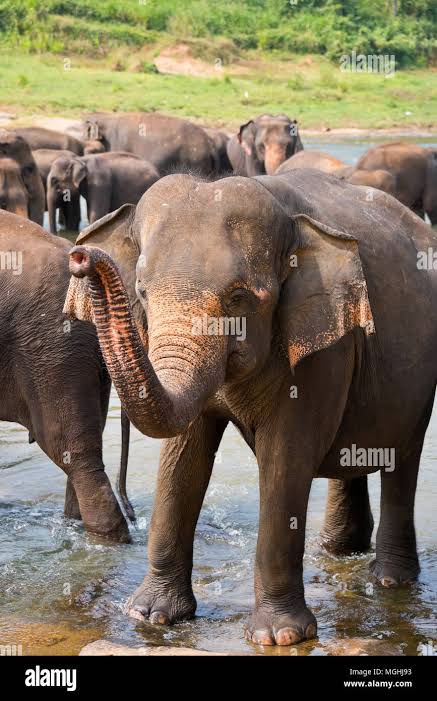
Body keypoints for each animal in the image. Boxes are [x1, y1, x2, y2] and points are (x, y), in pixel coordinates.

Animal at [64, 168, 437, 646]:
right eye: (143, 292)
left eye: (239, 297)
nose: (80, 256)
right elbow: (183, 458)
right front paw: (149, 615)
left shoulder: (322, 348)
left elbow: (286, 458)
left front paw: (279, 636)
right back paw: (337, 552)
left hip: (419, 379)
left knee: (402, 460)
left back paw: (389, 581)